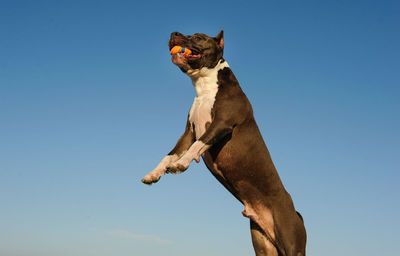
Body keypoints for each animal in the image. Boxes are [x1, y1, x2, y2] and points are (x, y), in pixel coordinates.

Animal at [141, 30, 306, 256]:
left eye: (198, 37)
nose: (174, 33)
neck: (205, 86)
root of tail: (296, 212)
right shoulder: (188, 132)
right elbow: (169, 154)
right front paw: (154, 174)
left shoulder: (221, 124)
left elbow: (198, 145)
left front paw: (181, 164)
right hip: (264, 245)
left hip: (291, 244)